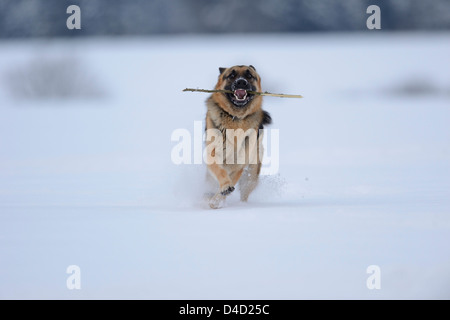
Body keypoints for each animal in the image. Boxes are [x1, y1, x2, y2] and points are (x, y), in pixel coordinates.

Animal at [204, 65, 270, 210]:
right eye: (231, 75)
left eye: (249, 75)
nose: (241, 82)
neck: (236, 118)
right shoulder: (213, 154)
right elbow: (220, 171)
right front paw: (224, 187)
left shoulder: (239, 164)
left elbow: (231, 181)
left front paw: (216, 200)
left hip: (251, 175)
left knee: (245, 192)